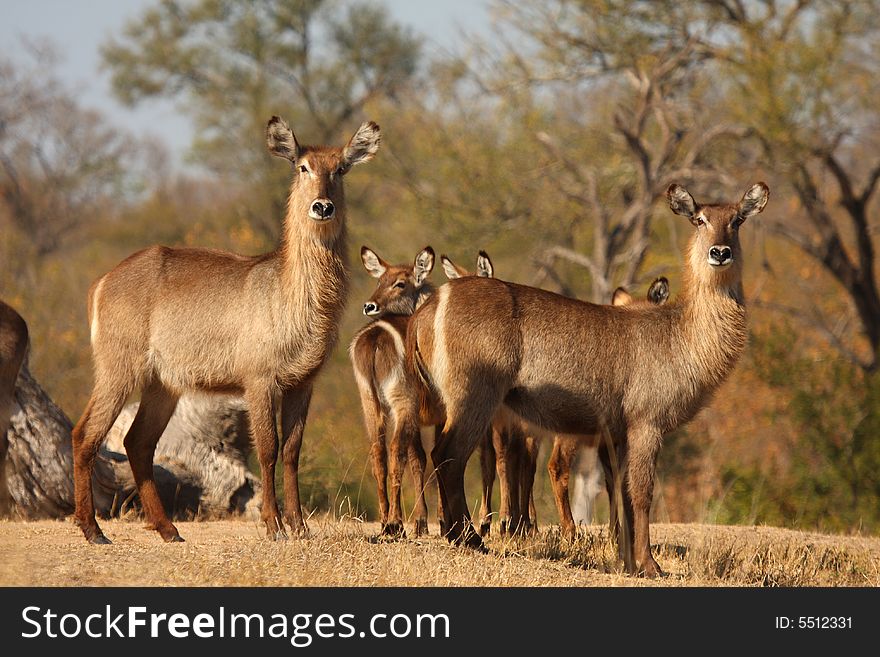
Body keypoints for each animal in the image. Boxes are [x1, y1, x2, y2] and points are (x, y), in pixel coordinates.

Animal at [72, 116, 382, 544]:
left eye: (340, 168)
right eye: (303, 167)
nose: (322, 206)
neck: (292, 293)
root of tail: (101, 282)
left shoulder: (304, 382)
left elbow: (292, 450)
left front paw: (300, 526)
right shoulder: (260, 380)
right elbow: (268, 449)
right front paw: (273, 525)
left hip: (163, 383)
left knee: (138, 442)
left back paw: (169, 530)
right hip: (118, 370)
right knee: (85, 434)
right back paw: (93, 530)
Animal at [348, 243, 434, 536]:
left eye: (399, 283)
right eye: (379, 280)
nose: (369, 305)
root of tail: (374, 338)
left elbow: (419, 459)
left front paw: (421, 522)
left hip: (369, 402)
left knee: (378, 451)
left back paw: (386, 519)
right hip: (401, 401)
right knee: (396, 451)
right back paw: (395, 523)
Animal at [410, 181, 768, 576]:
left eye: (736, 220)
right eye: (700, 219)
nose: (719, 252)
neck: (681, 334)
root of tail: (431, 305)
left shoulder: (618, 432)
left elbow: (622, 492)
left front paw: (628, 561)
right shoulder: (646, 423)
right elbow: (642, 492)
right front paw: (650, 565)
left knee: (445, 455)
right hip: (476, 395)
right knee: (450, 454)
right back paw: (469, 538)